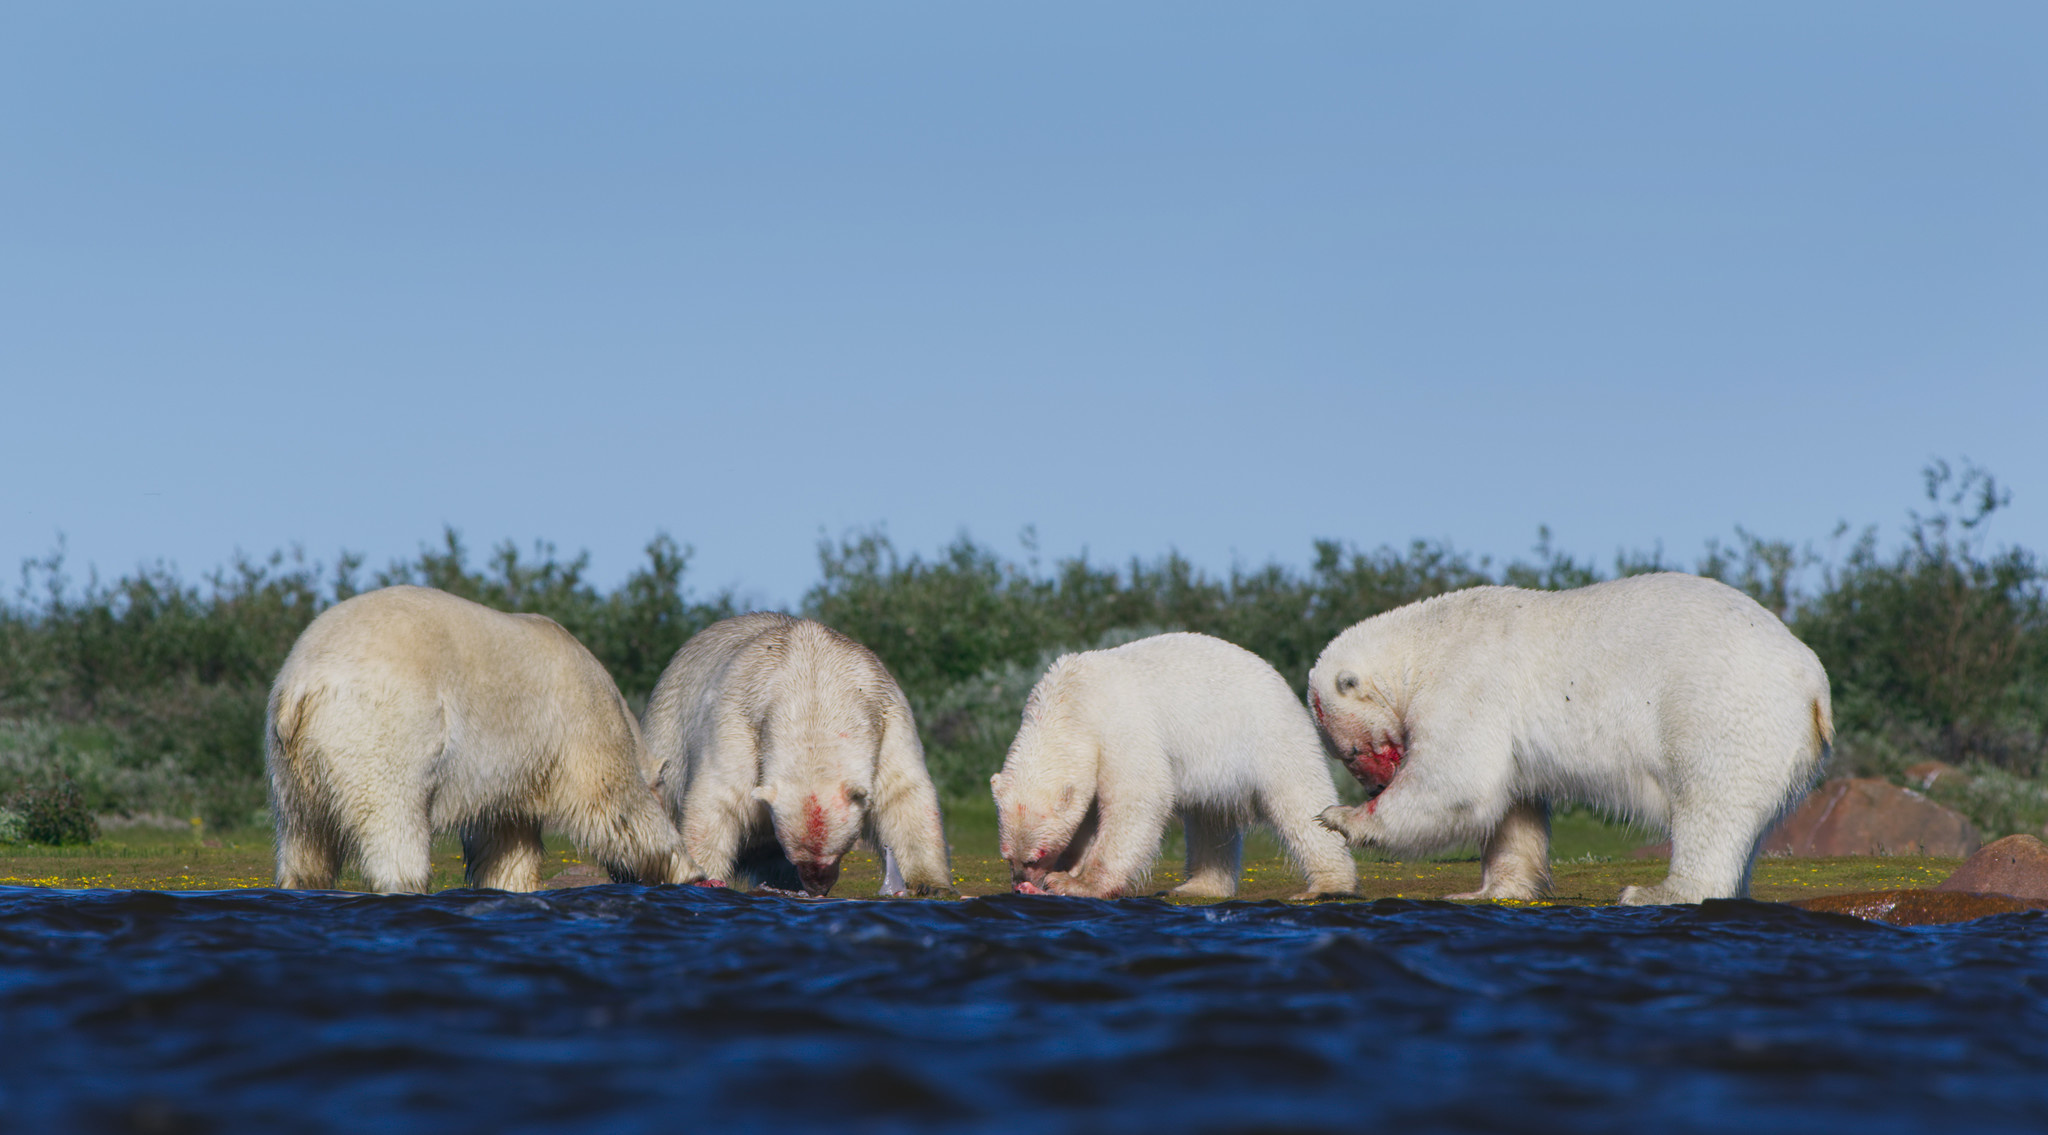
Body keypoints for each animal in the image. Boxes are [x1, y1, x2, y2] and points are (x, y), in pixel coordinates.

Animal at [266, 581, 688, 893]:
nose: (619, 876)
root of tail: (304, 685)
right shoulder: (583, 722)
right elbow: (616, 800)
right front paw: (686, 870)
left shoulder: (515, 774)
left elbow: (506, 837)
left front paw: (511, 883)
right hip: (380, 726)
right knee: (393, 818)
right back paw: (407, 882)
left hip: (295, 759)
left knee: (305, 839)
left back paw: (302, 882)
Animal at [643, 610, 954, 893]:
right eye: (798, 859)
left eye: (835, 855)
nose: (817, 888)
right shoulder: (737, 722)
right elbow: (718, 799)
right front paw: (704, 877)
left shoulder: (887, 719)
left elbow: (903, 797)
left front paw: (931, 885)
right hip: (670, 720)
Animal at [991, 631, 1359, 897]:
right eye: (1007, 856)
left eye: (1036, 855)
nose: (1019, 882)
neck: (1070, 700)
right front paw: (1068, 869)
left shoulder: (1120, 729)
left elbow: (1138, 797)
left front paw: (1075, 883)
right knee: (1209, 821)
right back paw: (1196, 887)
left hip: (1269, 736)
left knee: (1300, 801)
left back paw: (1329, 885)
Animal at [1310, 569, 1843, 905]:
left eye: (1352, 753)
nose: (1375, 786)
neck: (1423, 646)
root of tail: (1813, 683)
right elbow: (1514, 808)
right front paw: (1489, 890)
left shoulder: (1467, 685)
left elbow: (1457, 782)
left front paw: (1339, 817)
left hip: (1720, 709)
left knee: (1711, 802)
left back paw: (1655, 892)